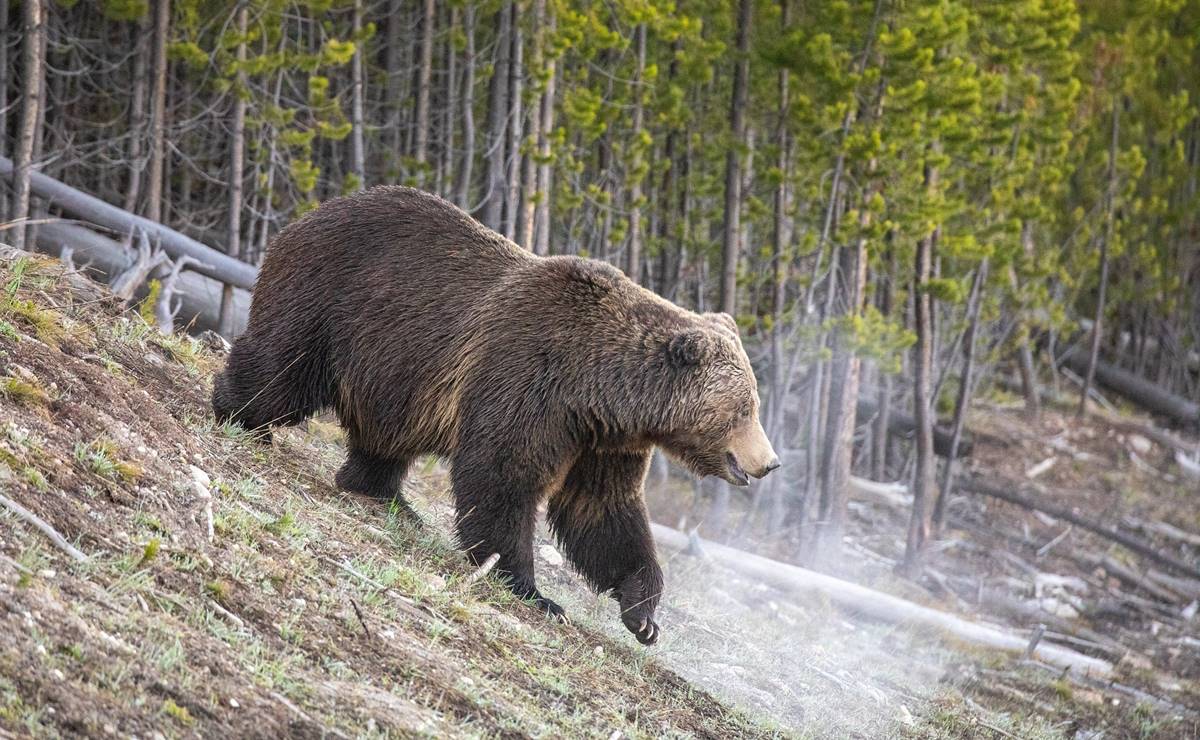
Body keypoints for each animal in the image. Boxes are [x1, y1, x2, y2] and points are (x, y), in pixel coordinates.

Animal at [213, 187, 777, 642]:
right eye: (745, 407)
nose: (769, 462)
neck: (601, 388)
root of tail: (307, 215)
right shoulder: (530, 378)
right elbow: (502, 475)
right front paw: (534, 591)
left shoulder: (602, 440)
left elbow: (603, 511)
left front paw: (643, 612)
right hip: (331, 299)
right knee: (283, 367)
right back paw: (237, 413)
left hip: (394, 370)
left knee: (385, 434)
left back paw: (387, 494)